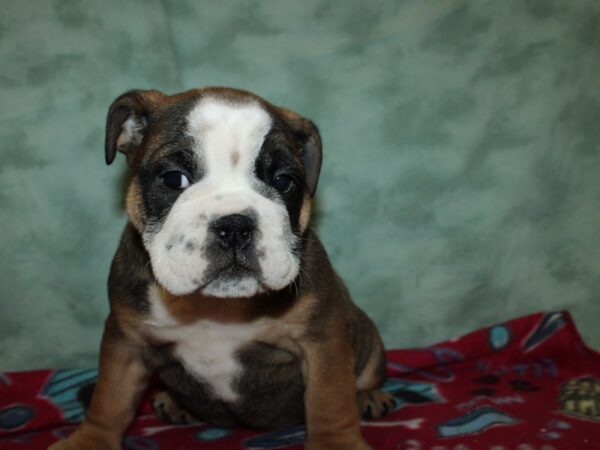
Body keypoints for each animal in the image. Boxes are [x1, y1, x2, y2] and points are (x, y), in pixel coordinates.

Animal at [49, 88, 392, 450]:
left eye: (284, 181)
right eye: (174, 179)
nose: (235, 226)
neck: (214, 307)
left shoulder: (322, 341)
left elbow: (330, 401)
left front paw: (336, 442)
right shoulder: (126, 343)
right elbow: (109, 399)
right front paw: (89, 440)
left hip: (368, 338)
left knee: (364, 377)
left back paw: (370, 396)